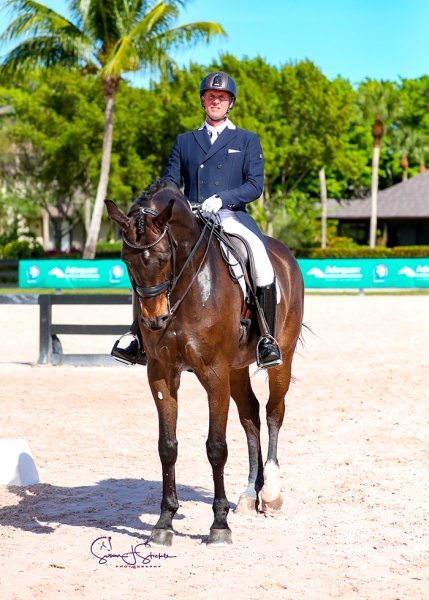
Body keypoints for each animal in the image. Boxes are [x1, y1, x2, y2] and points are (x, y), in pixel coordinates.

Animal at [105, 179, 302, 548]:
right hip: (236, 368)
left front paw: (219, 525)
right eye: (125, 259)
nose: (155, 320)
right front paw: (164, 522)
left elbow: (216, 447)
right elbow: (167, 447)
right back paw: (249, 494)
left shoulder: (214, 373)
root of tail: (285, 255)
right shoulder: (162, 374)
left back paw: (270, 492)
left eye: (165, 256)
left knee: (273, 413)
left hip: (281, 357)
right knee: (251, 416)